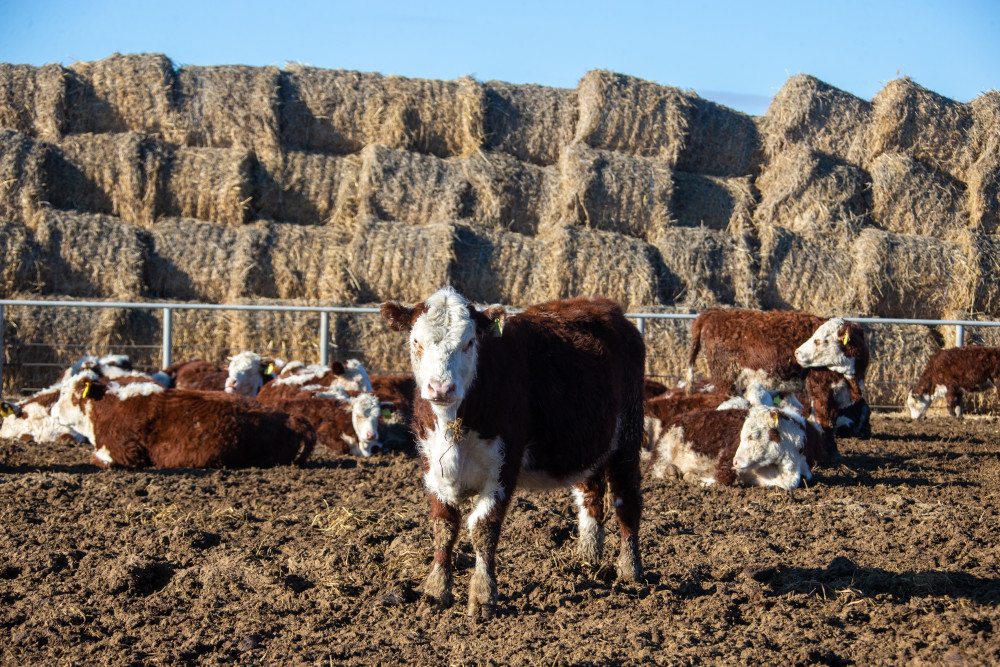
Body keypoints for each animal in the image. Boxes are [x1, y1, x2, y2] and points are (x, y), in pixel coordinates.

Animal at [378, 288, 644, 620]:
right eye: (417, 342)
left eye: (469, 342)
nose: (440, 388)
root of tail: (604, 306)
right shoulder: (431, 464)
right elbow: (444, 526)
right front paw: (436, 590)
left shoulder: (503, 468)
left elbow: (483, 528)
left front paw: (482, 596)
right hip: (588, 441)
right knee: (591, 495)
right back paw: (588, 558)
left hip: (628, 435)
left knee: (625, 501)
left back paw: (630, 569)